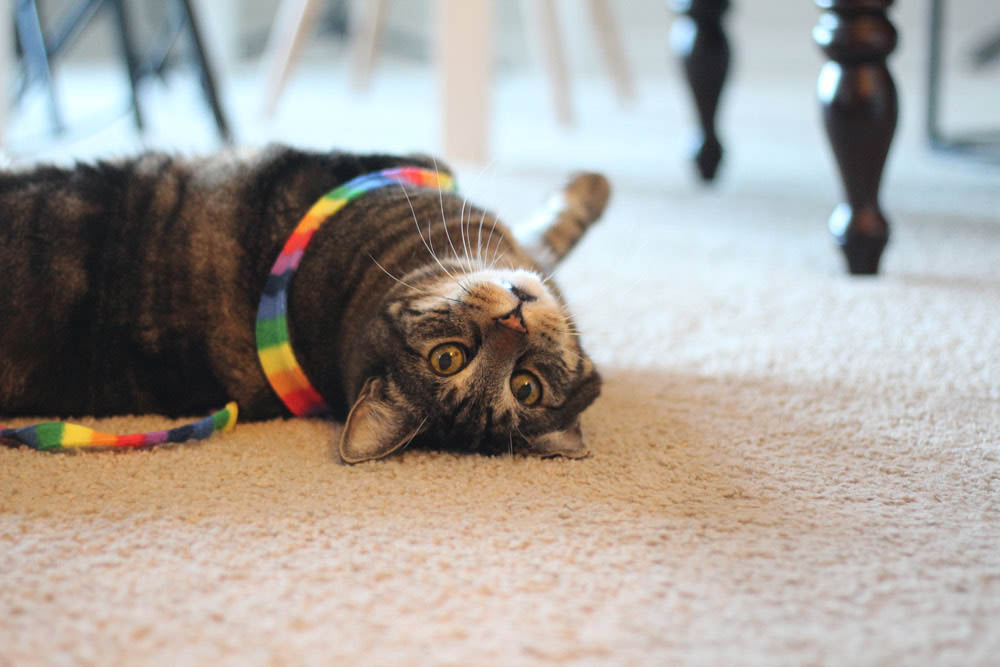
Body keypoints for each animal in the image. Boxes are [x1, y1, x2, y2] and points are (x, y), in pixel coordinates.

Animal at [0, 145, 608, 463]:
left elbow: (549, 237)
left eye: (524, 387)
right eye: (448, 358)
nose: (515, 322)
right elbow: (551, 233)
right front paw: (594, 185)